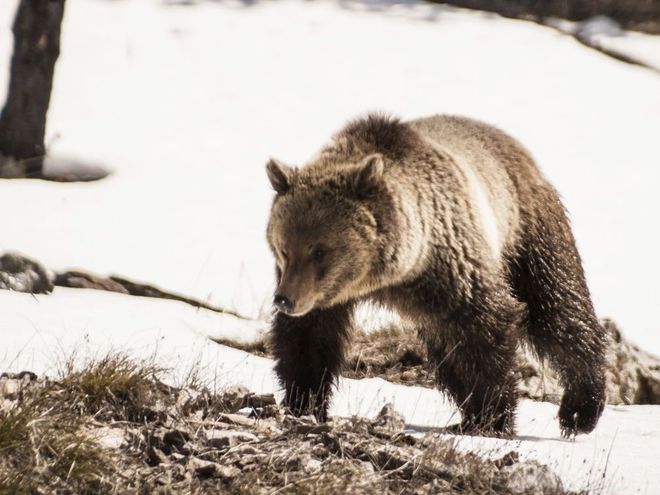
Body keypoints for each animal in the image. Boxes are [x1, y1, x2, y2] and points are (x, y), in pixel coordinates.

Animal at [266, 113, 604, 438]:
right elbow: (308, 340)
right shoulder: (325, 296)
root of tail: (518, 148)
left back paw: (580, 409)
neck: (391, 276)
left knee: (557, 308)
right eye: (284, 249)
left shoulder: (454, 266)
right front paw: (304, 403)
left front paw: (493, 418)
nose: (285, 299)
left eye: (319, 251)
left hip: (526, 231)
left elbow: (487, 331)